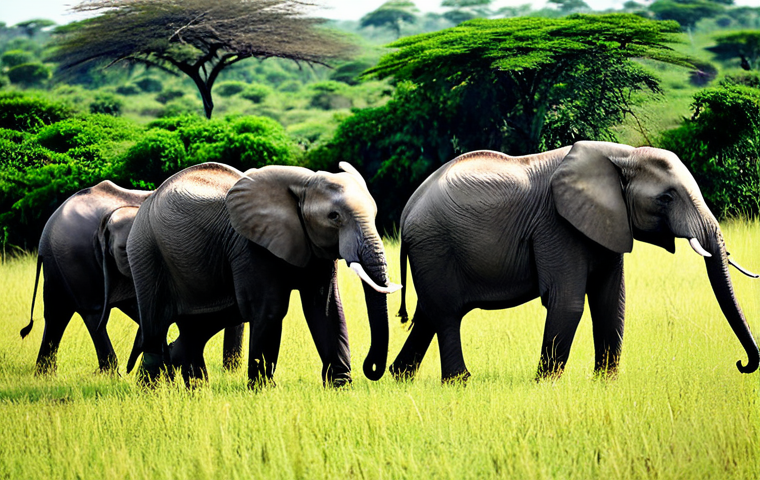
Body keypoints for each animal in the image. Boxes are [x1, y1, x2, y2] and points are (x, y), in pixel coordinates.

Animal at [20, 181, 244, 374]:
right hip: (76, 259)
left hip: (60, 263)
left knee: (56, 315)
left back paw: (44, 376)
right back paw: (110, 375)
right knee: (91, 314)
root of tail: (46, 233)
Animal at [126, 161, 399, 387]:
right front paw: (263, 390)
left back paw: (196, 390)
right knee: (156, 327)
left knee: (196, 330)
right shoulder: (251, 247)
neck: (304, 184)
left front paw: (340, 387)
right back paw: (150, 392)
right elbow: (270, 310)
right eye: (334, 217)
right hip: (146, 251)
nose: (372, 368)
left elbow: (325, 308)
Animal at [391, 141, 760, 383]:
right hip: (435, 247)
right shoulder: (556, 225)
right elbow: (567, 302)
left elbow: (611, 300)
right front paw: (545, 384)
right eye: (666, 198)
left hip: (431, 253)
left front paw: (605, 383)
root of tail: (407, 211)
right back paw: (460, 382)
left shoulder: (608, 221)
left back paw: (400, 378)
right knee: (447, 315)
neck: (621, 154)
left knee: (428, 315)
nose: (742, 364)